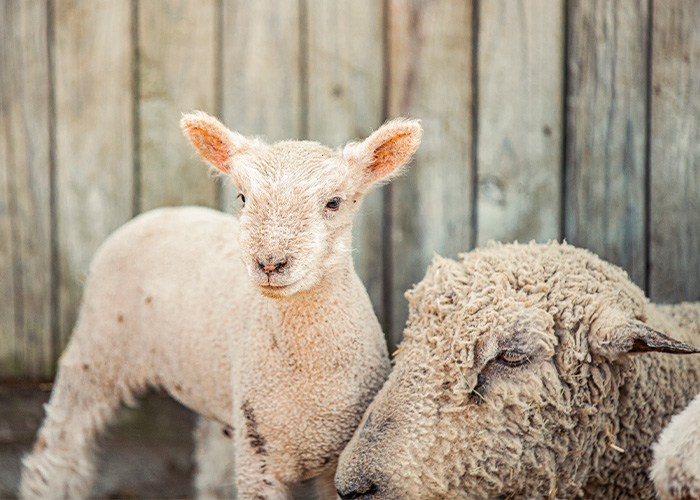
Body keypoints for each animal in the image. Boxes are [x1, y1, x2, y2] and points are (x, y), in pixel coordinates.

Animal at [19, 112, 422, 500]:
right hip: (96, 347)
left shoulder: (330, 458)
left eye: (334, 202)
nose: (270, 263)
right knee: (59, 444)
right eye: (242, 197)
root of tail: (159, 212)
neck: (309, 376)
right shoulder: (260, 459)